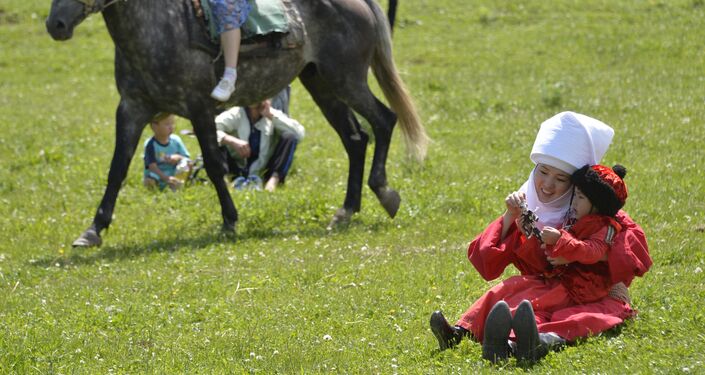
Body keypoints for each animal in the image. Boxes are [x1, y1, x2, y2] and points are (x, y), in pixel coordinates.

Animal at [48, 0, 428, 247]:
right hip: (320, 82)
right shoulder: (131, 109)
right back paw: (346, 211)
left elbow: (215, 166)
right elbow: (117, 169)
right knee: (355, 139)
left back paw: (384, 192)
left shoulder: (200, 107)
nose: (56, 24)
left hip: (346, 80)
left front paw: (230, 221)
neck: (156, 28)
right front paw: (93, 230)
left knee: (384, 120)